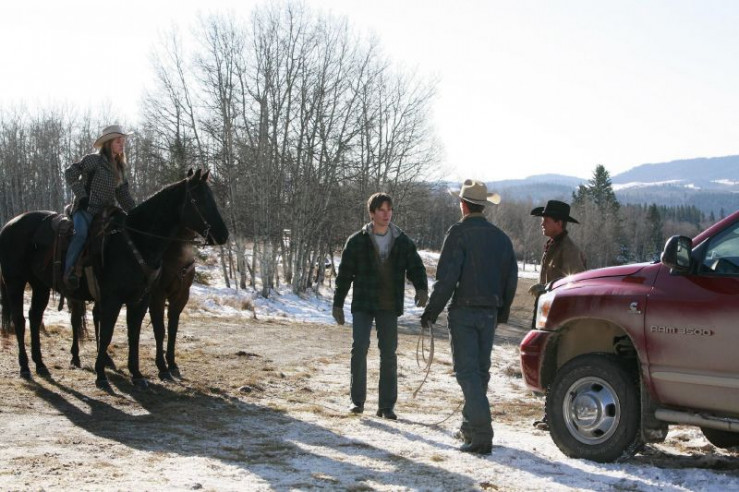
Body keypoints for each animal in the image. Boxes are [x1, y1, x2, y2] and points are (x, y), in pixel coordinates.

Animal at [0, 169, 229, 391]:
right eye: (198, 200)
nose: (223, 234)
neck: (136, 242)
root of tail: (9, 224)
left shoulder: (141, 300)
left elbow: (135, 334)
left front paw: (137, 374)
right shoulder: (114, 299)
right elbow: (109, 333)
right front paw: (102, 376)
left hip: (40, 286)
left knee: (35, 317)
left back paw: (41, 365)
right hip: (15, 282)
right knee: (21, 320)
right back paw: (26, 367)